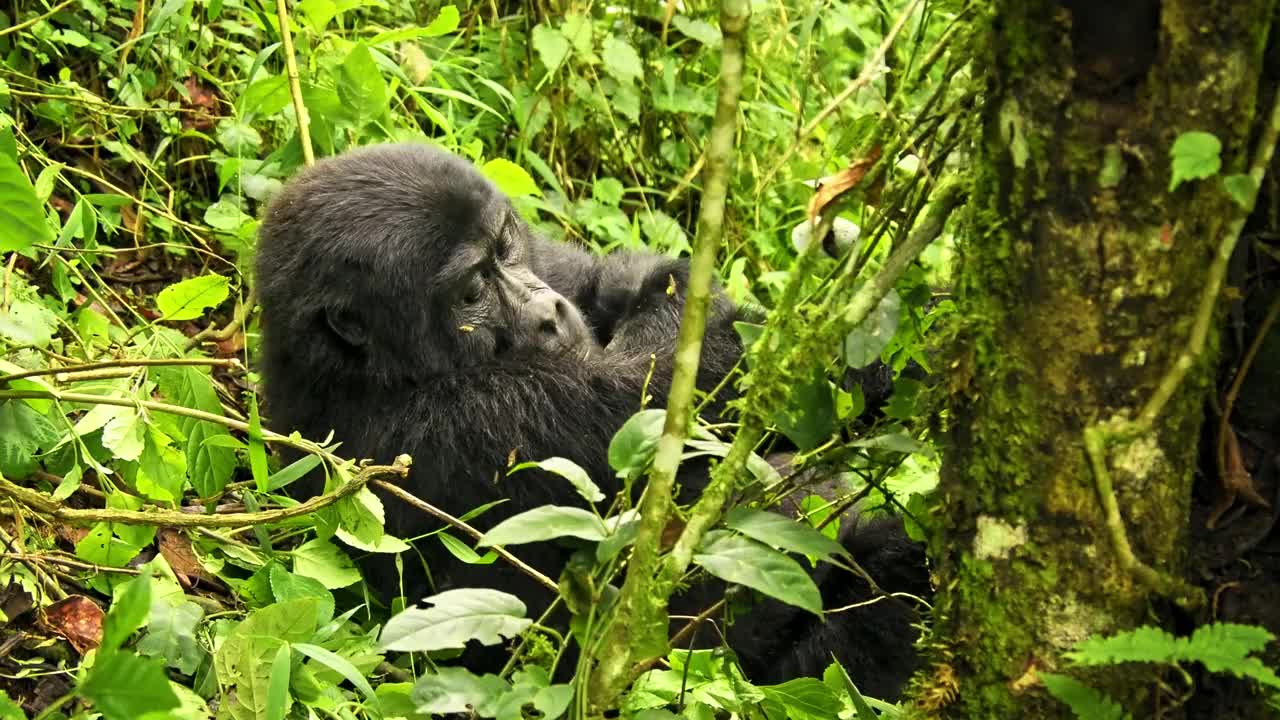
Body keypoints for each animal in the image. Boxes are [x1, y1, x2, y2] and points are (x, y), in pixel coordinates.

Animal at [252, 142, 931, 696]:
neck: (359, 371)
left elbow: (633, 280)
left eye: (506, 248)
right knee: (893, 585)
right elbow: (685, 404)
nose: (549, 315)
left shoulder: (553, 265)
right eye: (471, 292)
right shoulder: (469, 426)